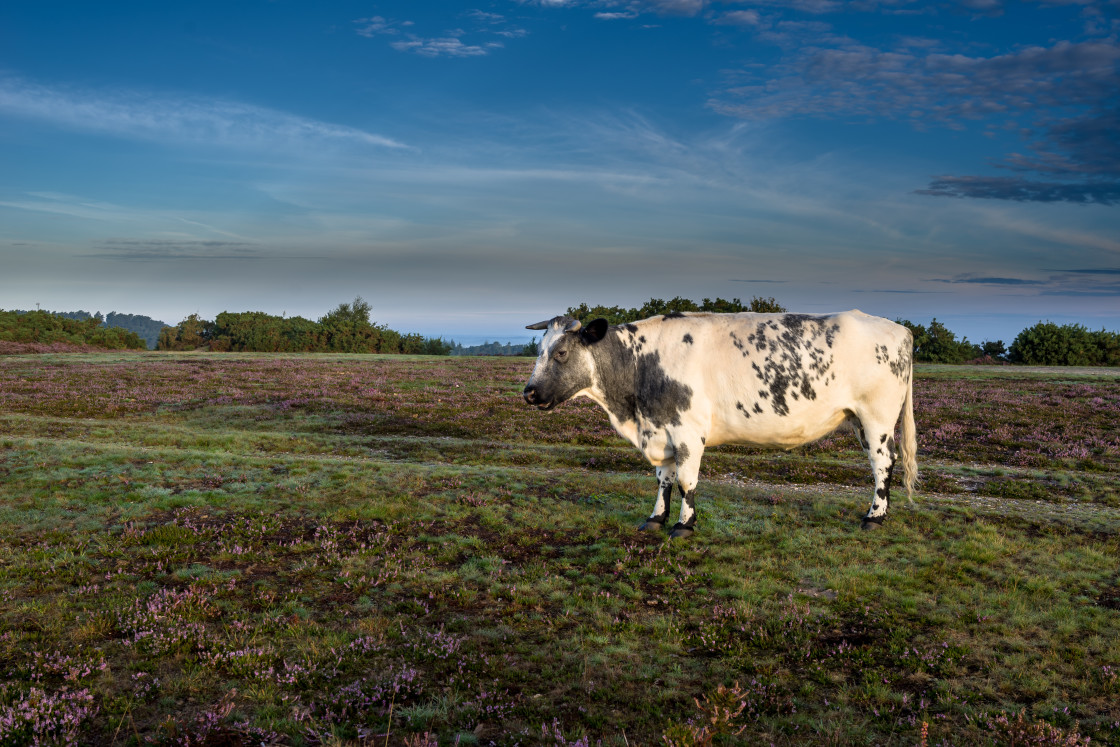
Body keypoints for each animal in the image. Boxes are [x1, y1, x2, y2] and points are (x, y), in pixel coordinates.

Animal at [519, 309, 913, 537]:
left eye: (561, 352)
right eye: (538, 351)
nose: (529, 393)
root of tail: (899, 330)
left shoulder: (688, 431)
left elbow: (686, 481)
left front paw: (684, 525)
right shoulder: (661, 427)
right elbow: (663, 479)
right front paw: (656, 518)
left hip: (876, 417)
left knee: (883, 464)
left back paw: (874, 517)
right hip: (859, 420)